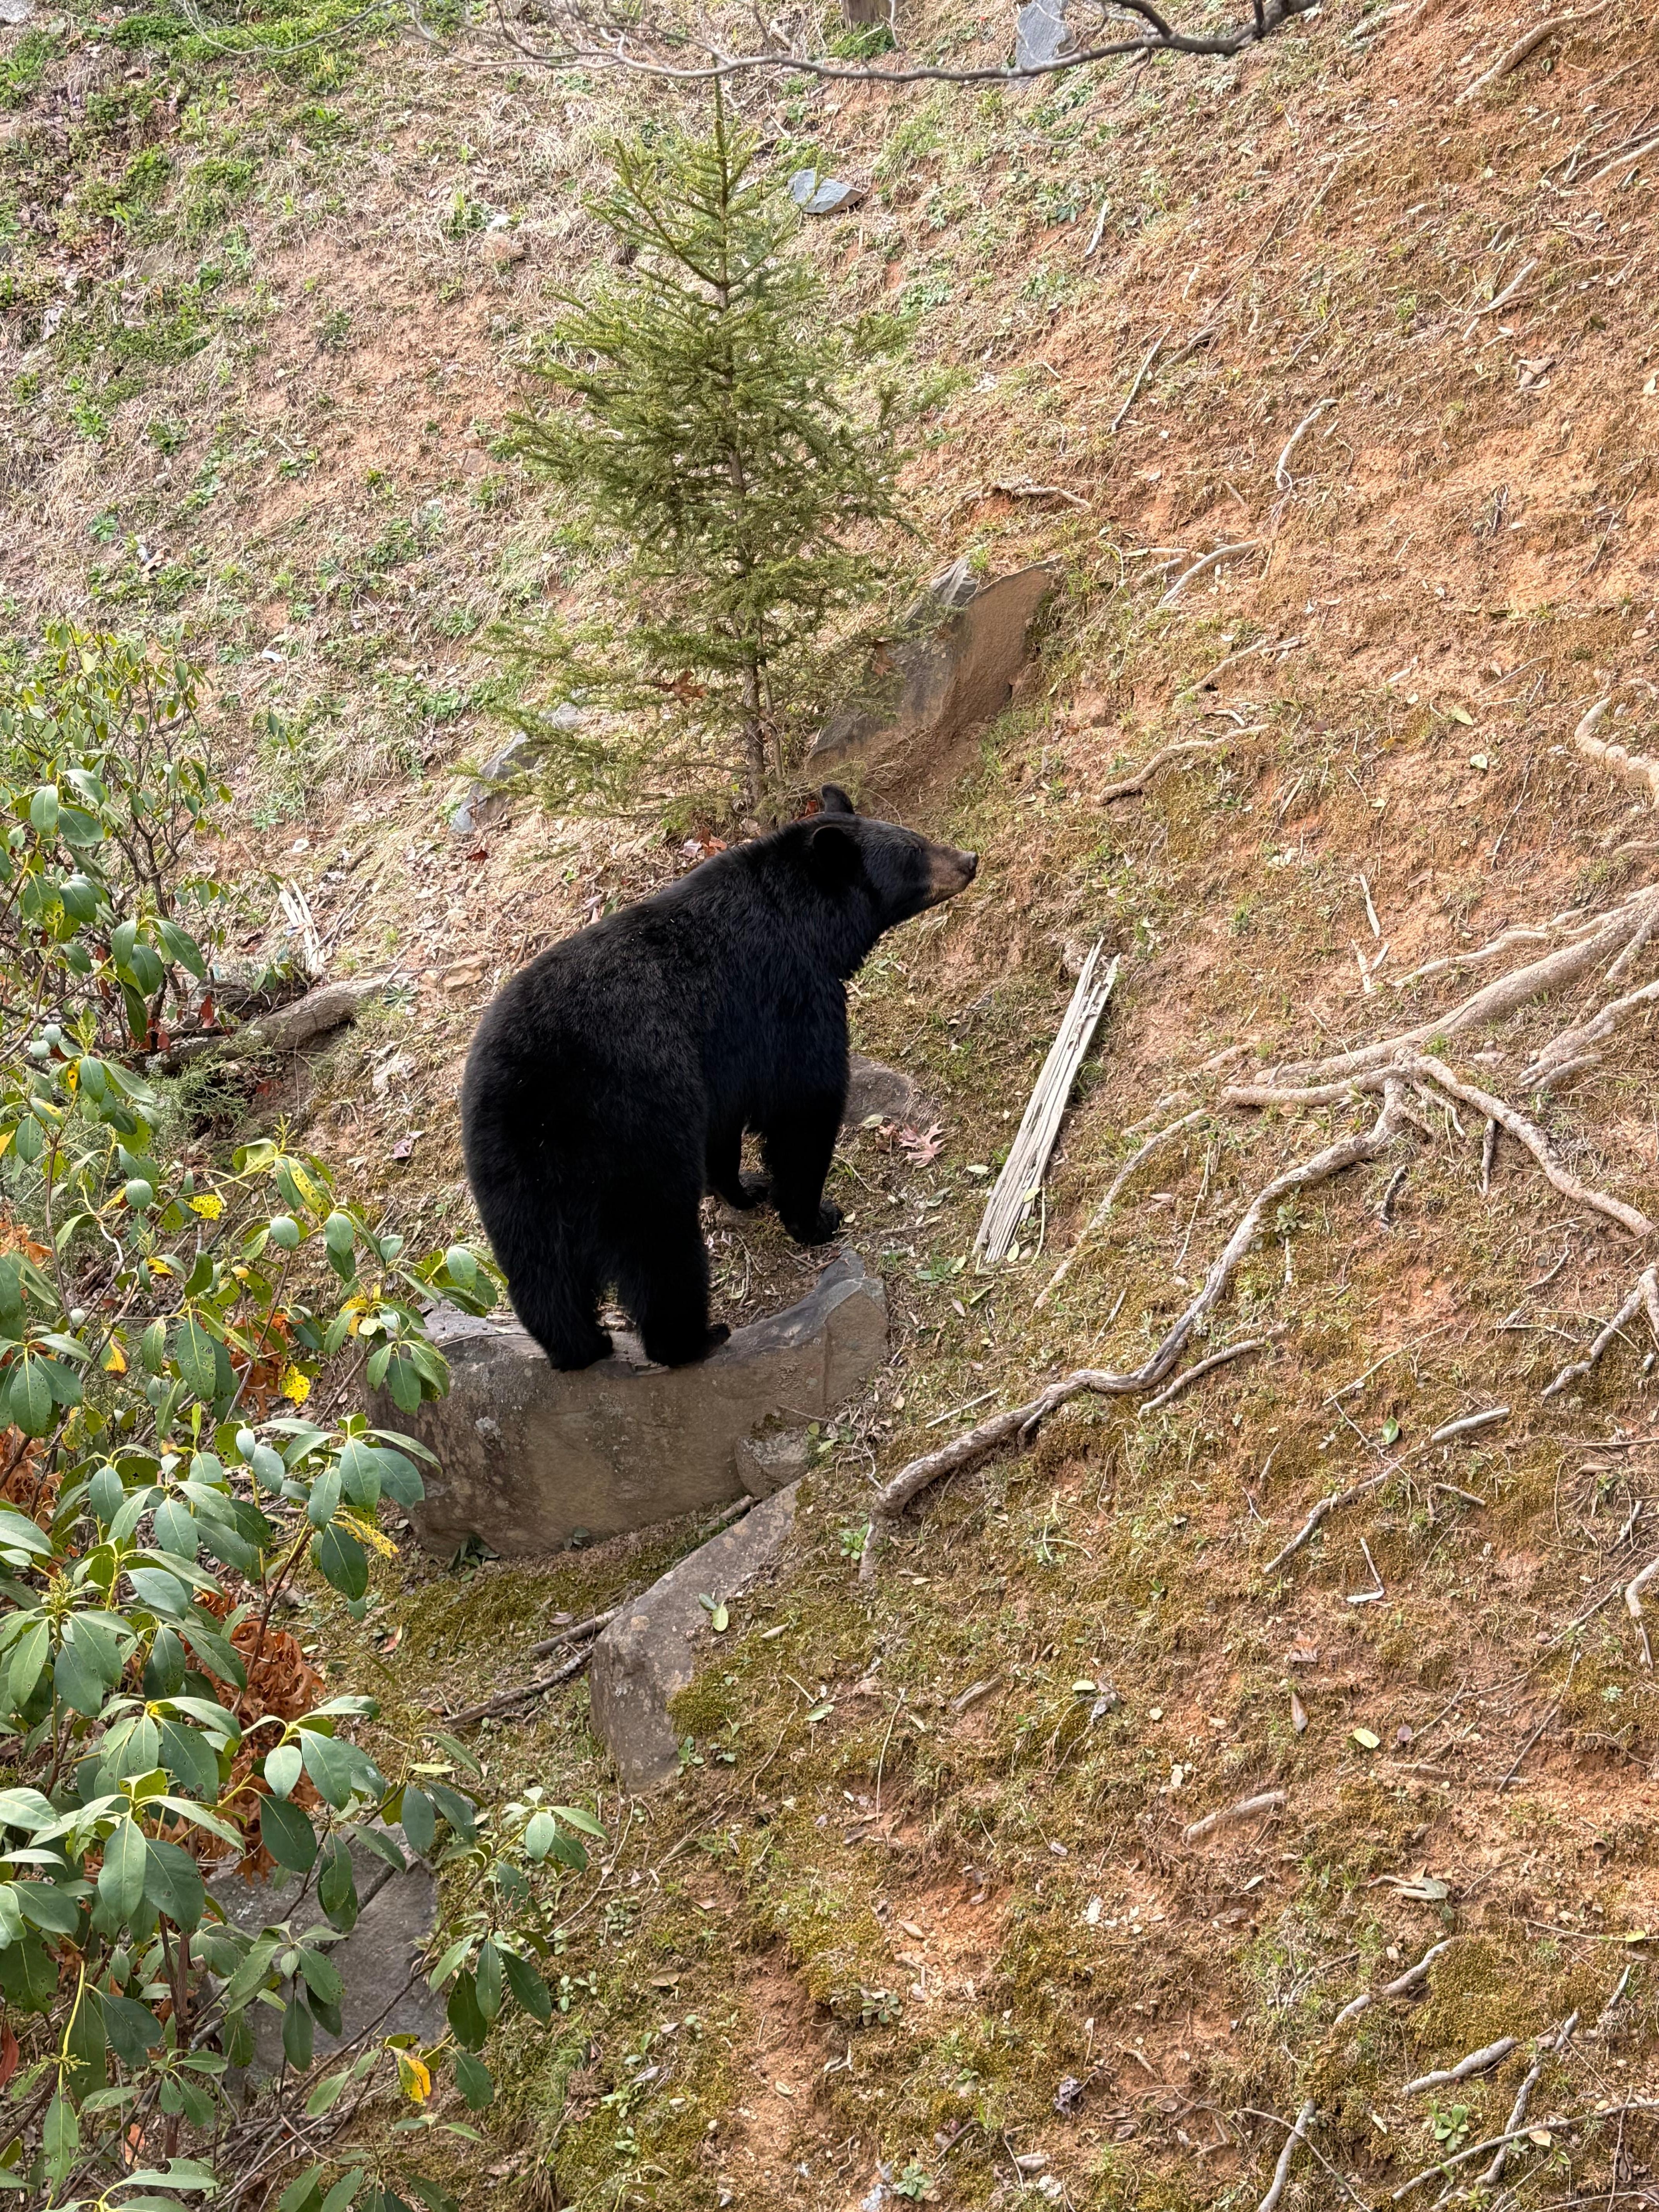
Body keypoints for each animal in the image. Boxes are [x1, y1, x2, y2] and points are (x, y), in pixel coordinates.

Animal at [460, 787, 978, 1370]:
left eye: (917, 837)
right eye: (914, 853)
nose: (970, 860)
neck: (802, 918)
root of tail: (532, 1109)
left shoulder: (723, 1064)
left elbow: (725, 1132)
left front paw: (745, 1189)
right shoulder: (785, 1001)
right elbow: (804, 1108)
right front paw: (814, 1218)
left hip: (509, 1182)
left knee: (542, 1274)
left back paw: (580, 1348)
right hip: (630, 1140)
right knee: (660, 1250)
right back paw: (695, 1339)